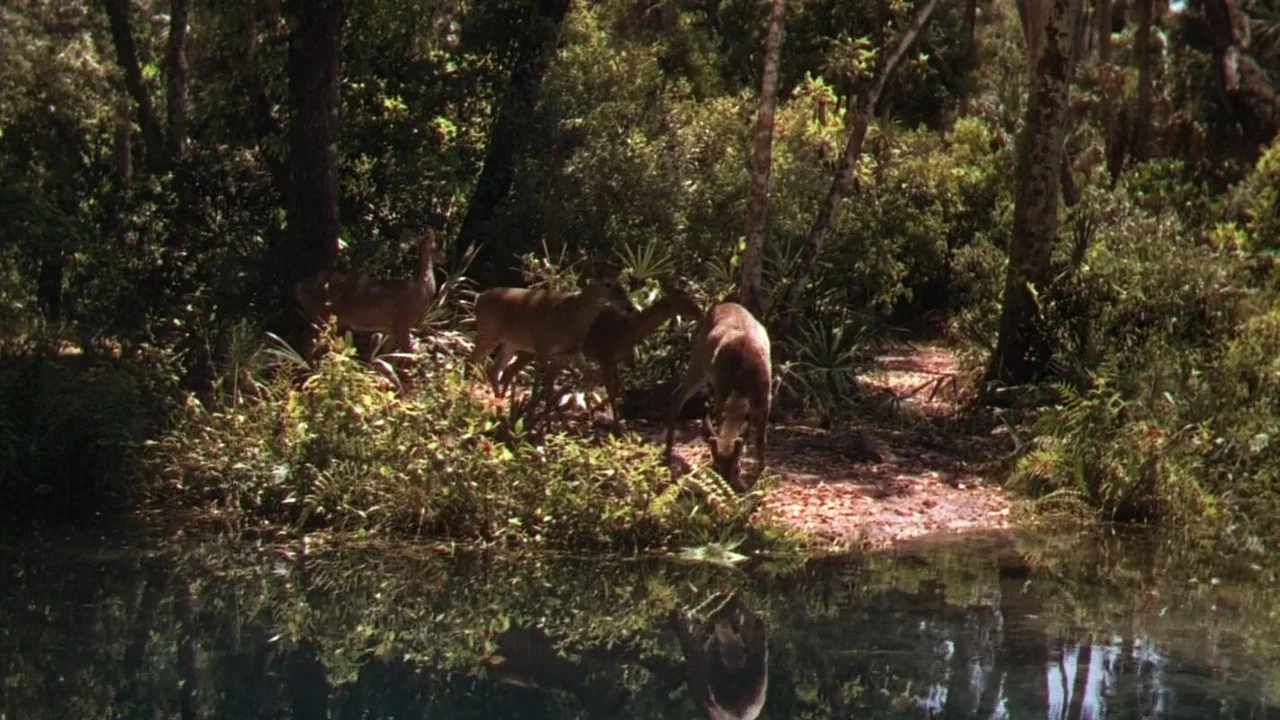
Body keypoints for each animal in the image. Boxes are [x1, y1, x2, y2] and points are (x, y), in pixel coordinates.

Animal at [295, 227, 447, 353]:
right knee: (307, 344)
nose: (445, 257)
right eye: (437, 246)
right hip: (323, 315)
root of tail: (299, 287)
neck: (419, 291)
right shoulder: (402, 323)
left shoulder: (390, 329)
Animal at [470, 279, 635, 419]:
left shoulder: (571, 352)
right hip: (489, 332)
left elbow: (588, 377)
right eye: (608, 284)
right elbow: (549, 381)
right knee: (474, 359)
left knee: (496, 369)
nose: (629, 306)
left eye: (621, 286)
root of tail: (479, 297)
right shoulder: (542, 347)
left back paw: (500, 407)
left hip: (510, 344)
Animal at [496, 278, 703, 424]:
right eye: (686, 300)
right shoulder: (604, 355)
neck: (628, 329)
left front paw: (597, 414)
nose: (701, 312)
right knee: (510, 370)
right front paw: (614, 425)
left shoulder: (615, 360)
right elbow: (611, 390)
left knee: (509, 371)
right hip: (530, 349)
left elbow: (618, 388)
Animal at [664, 302, 772, 492]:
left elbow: (760, 440)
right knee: (678, 394)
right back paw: (667, 455)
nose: (727, 484)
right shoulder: (721, 394)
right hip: (699, 359)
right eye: (715, 467)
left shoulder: (766, 399)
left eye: (737, 469)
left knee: (678, 394)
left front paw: (761, 474)